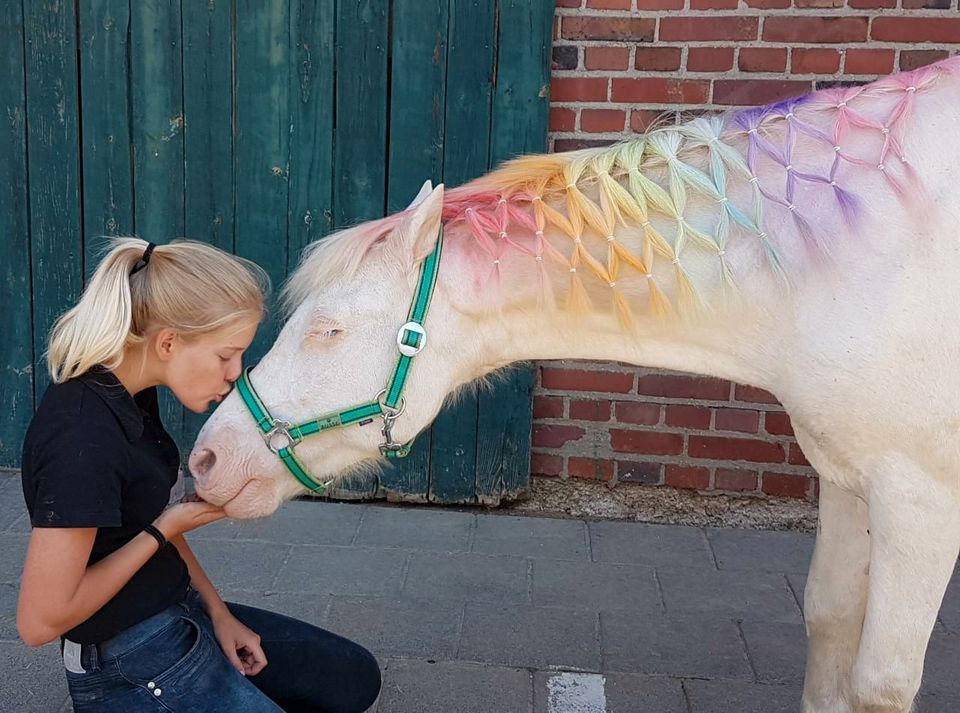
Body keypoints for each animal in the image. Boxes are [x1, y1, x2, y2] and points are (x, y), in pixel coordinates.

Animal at [188, 58, 960, 708]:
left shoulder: (919, 499)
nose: (207, 457)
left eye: (329, 329)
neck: (848, 257)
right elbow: (828, 618)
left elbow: (879, 681)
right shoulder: (847, 476)